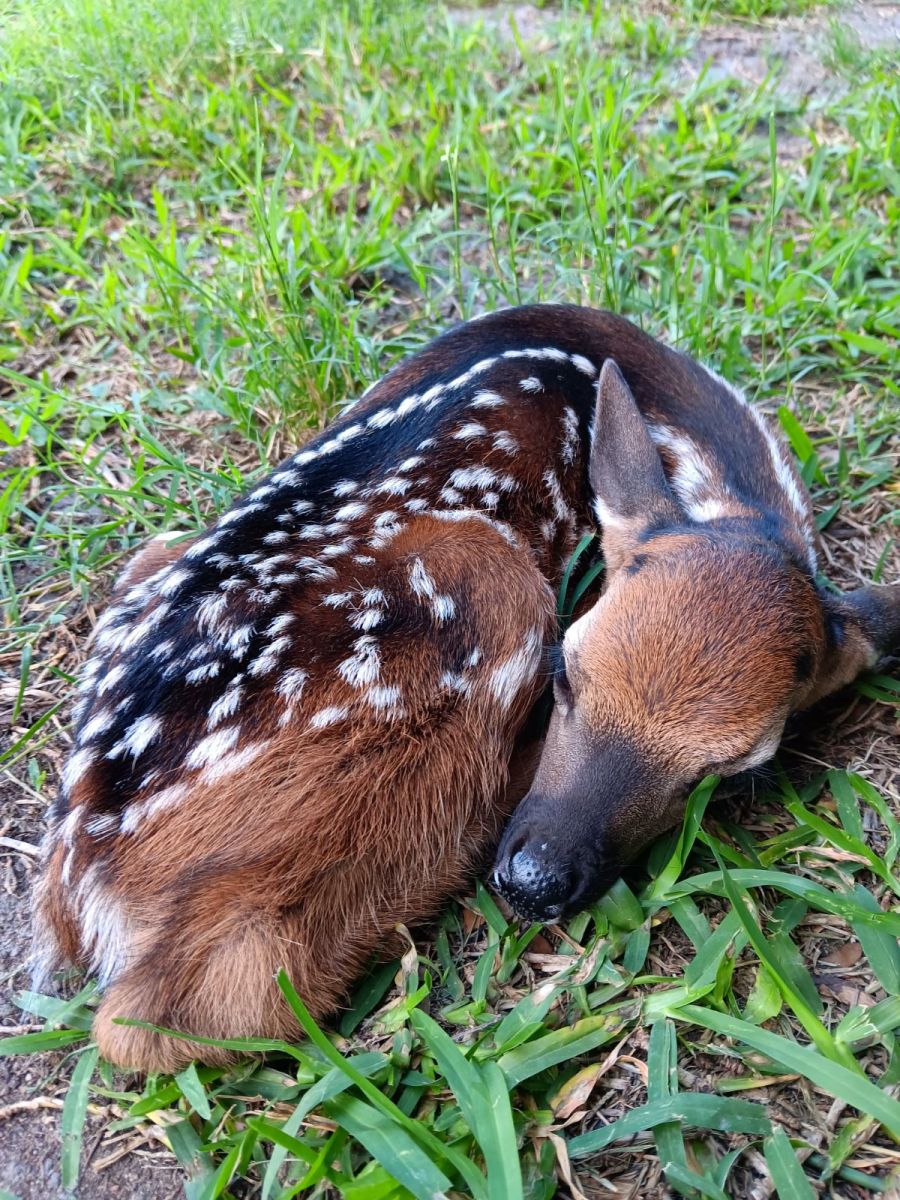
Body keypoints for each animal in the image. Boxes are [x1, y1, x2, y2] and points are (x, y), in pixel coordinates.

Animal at [31, 302, 897, 1070]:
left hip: (155, 555)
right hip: (484, 582)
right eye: (564, 675)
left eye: (739, 775)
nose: (537, 881)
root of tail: (84, 884)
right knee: (182, 1013)